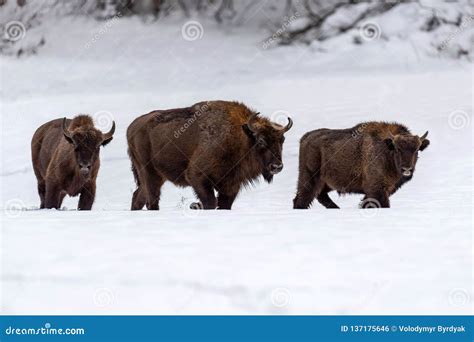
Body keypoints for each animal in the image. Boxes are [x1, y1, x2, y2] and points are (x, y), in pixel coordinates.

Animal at [126, 100, 292, 210]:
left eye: (282, 140)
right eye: (261, 141)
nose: (277, 166)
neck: (241, 136)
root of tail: (132, 127)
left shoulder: (231, 185)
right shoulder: (197, 177)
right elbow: (210, 203)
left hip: (156, 177)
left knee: (138, 196)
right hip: (149, 173)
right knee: (151, 199)